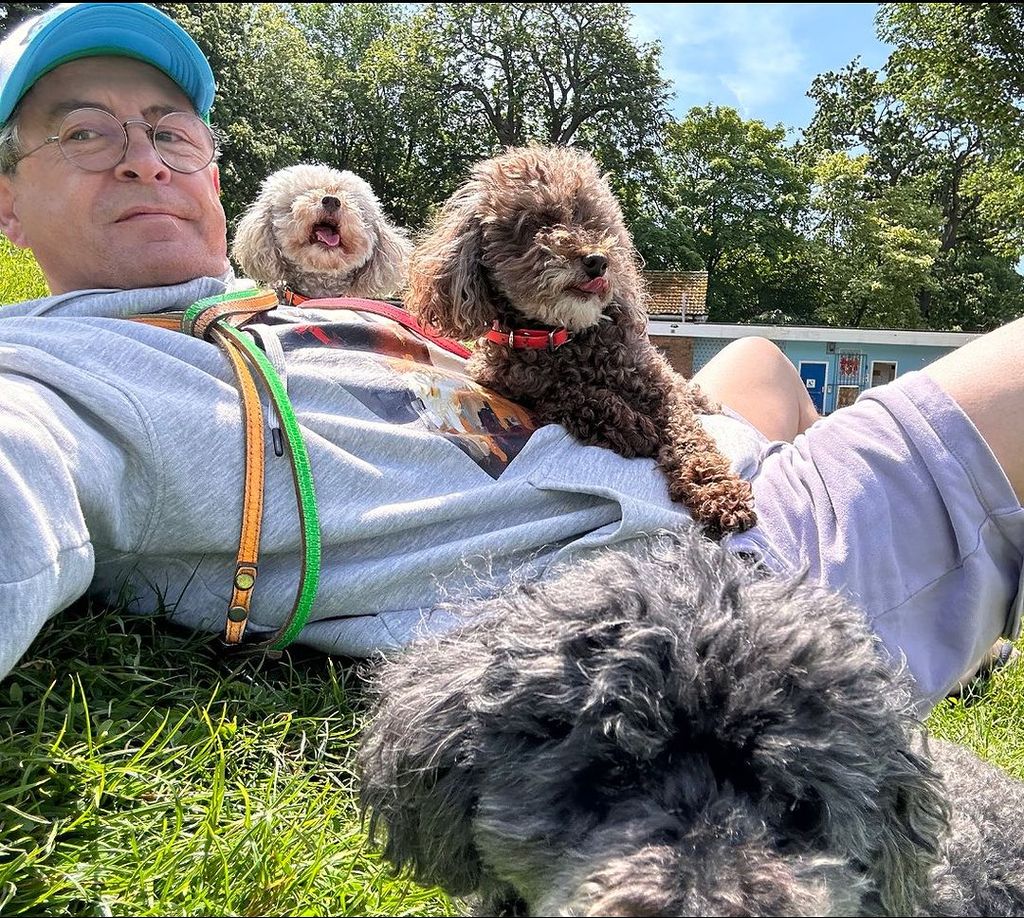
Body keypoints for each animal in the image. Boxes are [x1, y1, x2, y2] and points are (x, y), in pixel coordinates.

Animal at [403, 145, 757, 536]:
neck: (566, 338)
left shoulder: (660, 387)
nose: (597, 260)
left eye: (594, 222)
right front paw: (633, 427)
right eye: (536, 224)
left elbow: (690, 438)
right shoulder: (511, 384)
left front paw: (720, 492)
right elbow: (571, 394)